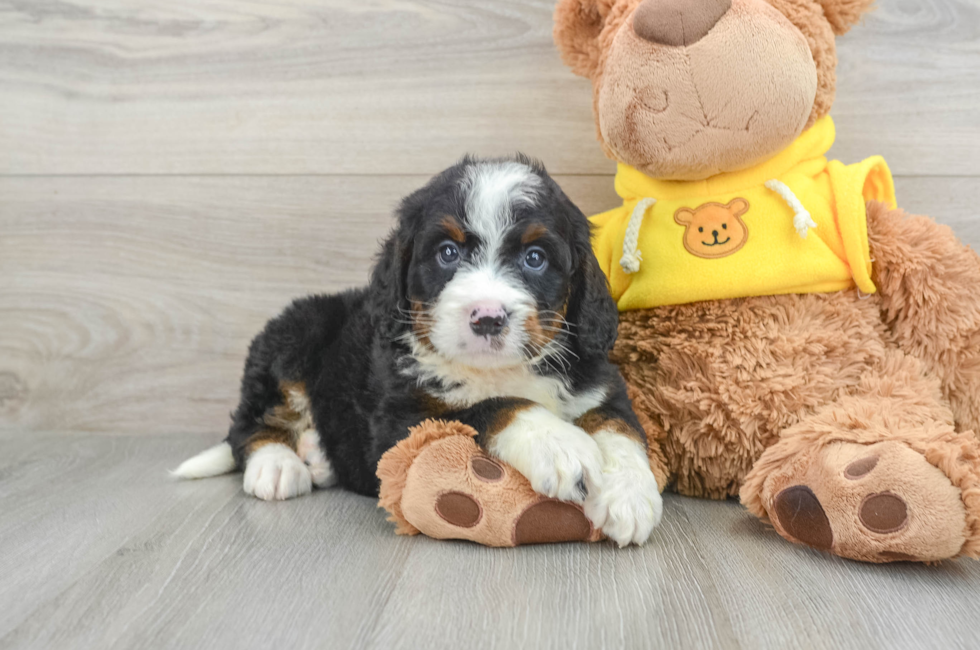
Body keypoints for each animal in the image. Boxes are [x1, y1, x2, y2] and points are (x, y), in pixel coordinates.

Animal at [174, 157, 668, 548]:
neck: (498, 369)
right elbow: (494, 405)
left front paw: (628, 495)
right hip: (295, 332)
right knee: (249, 423)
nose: (487, 317)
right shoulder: (401, 419)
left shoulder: (599, 384)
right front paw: (560, 445)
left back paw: (318, 456)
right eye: (447, 253)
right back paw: (278, 465)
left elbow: (620, 427)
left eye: (535, 258)